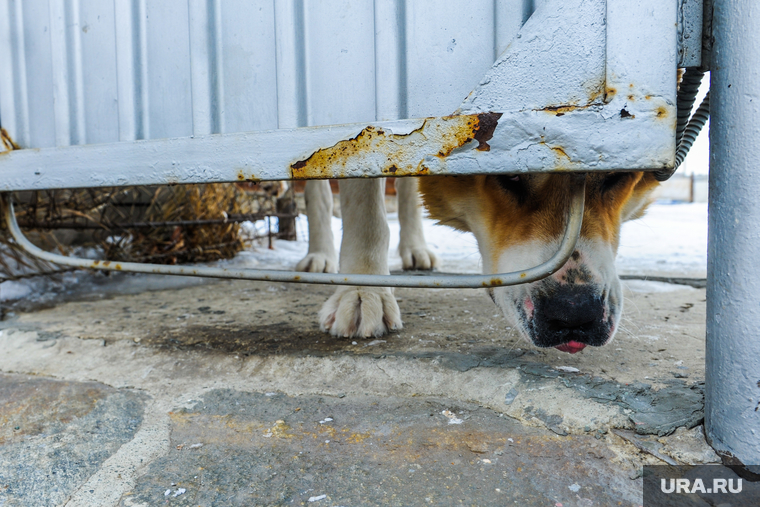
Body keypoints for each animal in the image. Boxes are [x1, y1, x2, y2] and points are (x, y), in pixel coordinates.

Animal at [296, 171, 660, 354]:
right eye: (511, 176)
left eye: (617, 175)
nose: (575, 314)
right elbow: (364, 205)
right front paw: (361, 290)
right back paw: (320, 254)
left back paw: (415, 247)